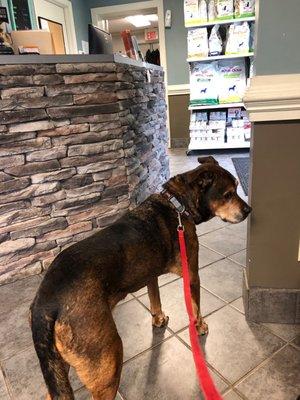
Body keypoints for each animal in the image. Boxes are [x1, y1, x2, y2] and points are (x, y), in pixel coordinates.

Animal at [29, 156, 251, 400]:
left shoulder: (150, 274)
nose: (249, 210)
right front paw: (199, 325)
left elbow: (155, 298)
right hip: (107, 364)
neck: (178, 205)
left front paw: (158, 318)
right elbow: (195, 307)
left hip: (58, 366)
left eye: (237, 188)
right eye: (228, 194)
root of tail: (45, 304)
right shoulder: (192, 275)